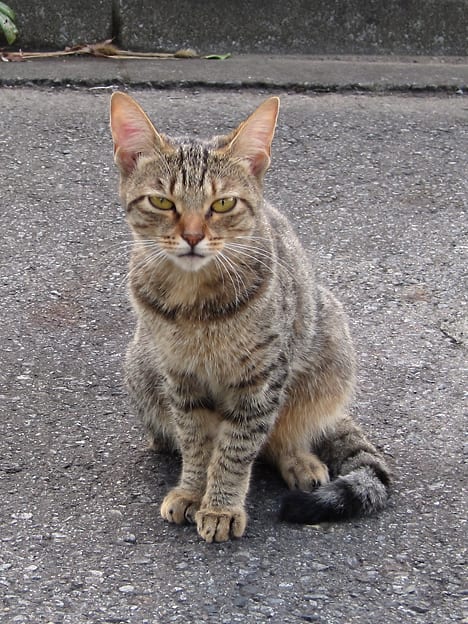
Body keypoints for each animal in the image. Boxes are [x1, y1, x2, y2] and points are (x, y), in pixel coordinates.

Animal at [109, 92, 392, 540]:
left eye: (223, 203)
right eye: (162, 202)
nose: (193, 236)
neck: (195, 303)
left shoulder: (261, 380)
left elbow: (237, 449)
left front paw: (220, 506)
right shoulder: (180, 377)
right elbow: (196, 442)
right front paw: (192, 491)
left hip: (330, 351)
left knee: (287, 433)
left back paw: (299, 460)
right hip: (140, 366)